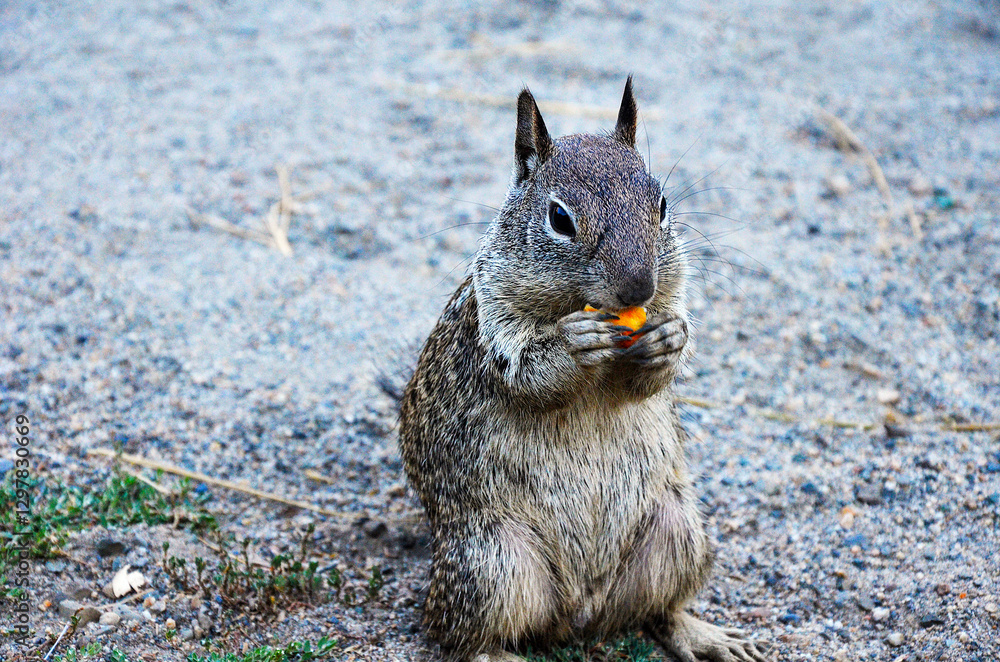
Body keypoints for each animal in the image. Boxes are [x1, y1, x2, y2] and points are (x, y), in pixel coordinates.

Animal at [399, 78, 766, 662]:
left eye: (662, 204)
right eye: (560, 219)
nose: (639, 288)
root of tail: (581, 612)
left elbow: (654, 376)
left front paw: (668, 340)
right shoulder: (495, 324)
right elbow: (527, 377)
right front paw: (574, 347)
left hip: (682, 534)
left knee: (658, 612)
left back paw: (703, 634)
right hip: (490, 565)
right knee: (455, 635)